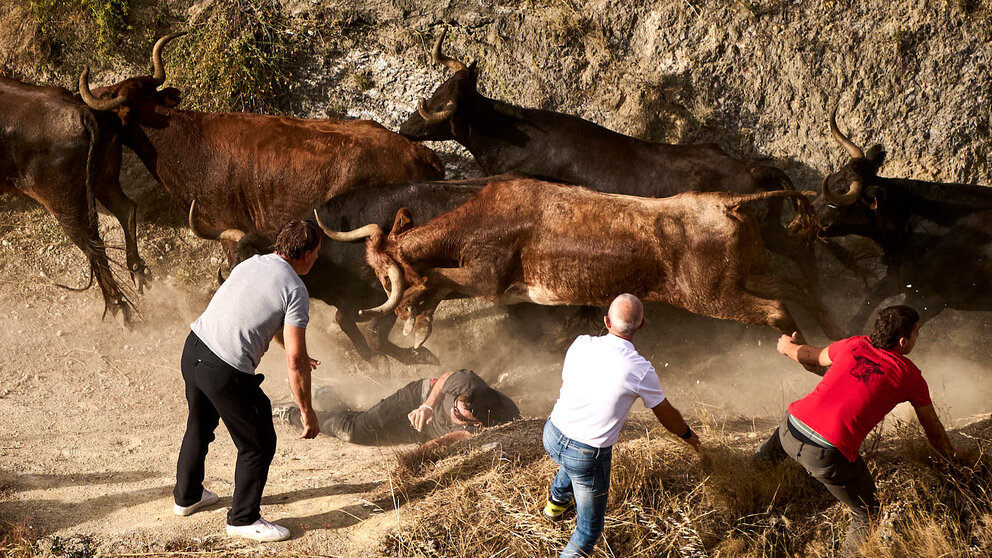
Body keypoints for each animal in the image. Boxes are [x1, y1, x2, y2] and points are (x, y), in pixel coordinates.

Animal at [324, 178, 828, 372]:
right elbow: (436, 285)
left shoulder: (488, 279)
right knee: (800, 288)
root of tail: (729, 201)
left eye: (383, 276)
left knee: (778, 309)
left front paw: (415, 323)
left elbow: (439, 280)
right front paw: (418, 326)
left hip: (713, 295)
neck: (479, 217)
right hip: (752, 272)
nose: (383, 302)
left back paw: (805, 356)